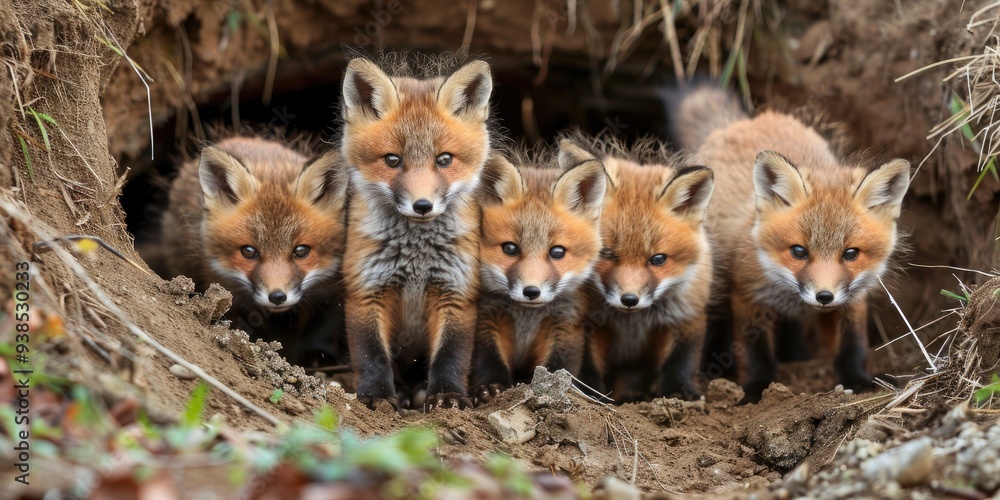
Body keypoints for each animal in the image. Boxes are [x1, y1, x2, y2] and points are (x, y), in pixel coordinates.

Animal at [339, 55, 494, 411]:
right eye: (392, 160)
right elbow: (371, 355)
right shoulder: (366, 289)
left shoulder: (456, 290)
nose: (422, 205)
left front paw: (448, 394)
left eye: (445, 159)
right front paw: (377, 396)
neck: (416, 260)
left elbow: (451, 355)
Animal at [473, 141, 608, 404]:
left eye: (557, 252)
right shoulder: (487, 317)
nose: (531, 291)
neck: (527, 317)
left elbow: (557, 366)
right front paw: (492, 388)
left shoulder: (565, 324)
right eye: (510, 248)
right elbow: (489, 359)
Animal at [576, 136, 715, 402]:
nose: (629, 299)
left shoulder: (686, 315)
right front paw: (590, 394)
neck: (632, 321)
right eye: (605, 253)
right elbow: (587, 363)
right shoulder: (584, 320)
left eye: (658, 259)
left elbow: (680, 361)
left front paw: (677, 392)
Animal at [670, 86, 911, 402]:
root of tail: (745, 121)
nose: (824, 297)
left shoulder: (852, 298)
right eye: (799, 251)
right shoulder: (748, 294)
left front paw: (859, 381)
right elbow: (756, 354)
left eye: (850, 254)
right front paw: (757, 390)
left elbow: (853, 344)